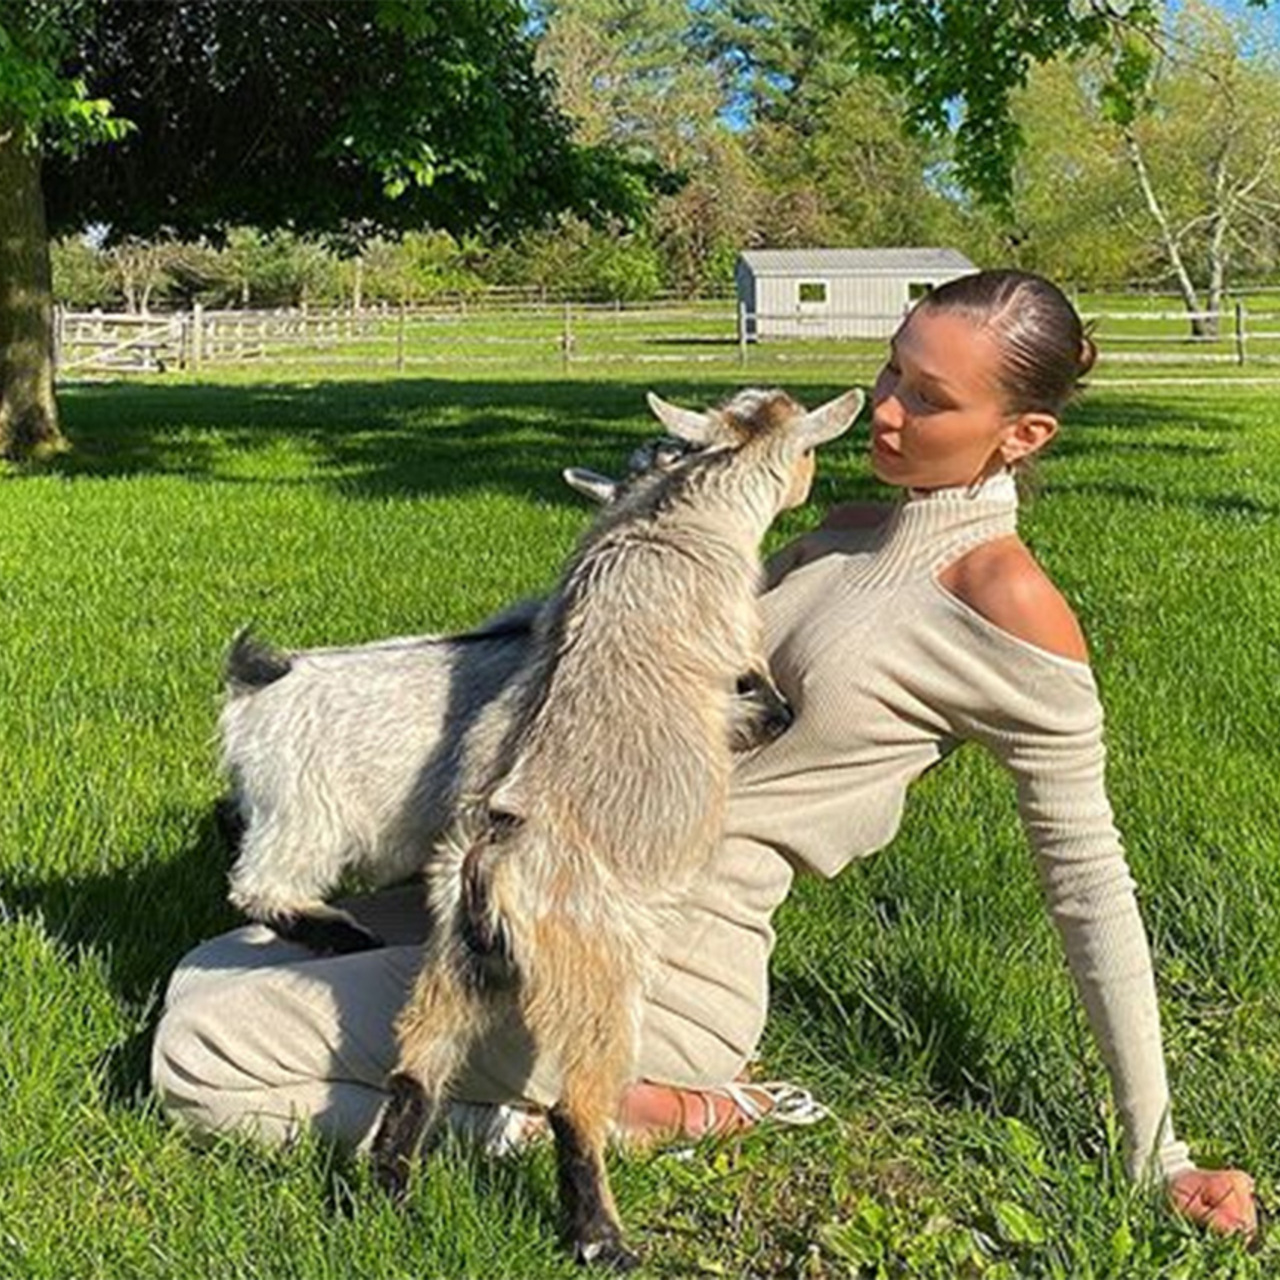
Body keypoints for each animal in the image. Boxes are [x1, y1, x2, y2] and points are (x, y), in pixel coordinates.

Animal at [222, 435, 798, 957]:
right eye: (740, 681)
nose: (786, 716)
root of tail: (256, 683)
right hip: (304, 816)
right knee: (258, 886)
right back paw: (340, 932)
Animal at [371, 386, 870, 1269]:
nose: (813, 480)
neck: (671, 524)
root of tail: (489, 866)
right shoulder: (741, 660)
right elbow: (771, 711)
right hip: (596, 981)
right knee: (576, 1104)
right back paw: (602, 1240)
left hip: (453, 969)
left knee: (417, 1067)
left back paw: (391, 1195)